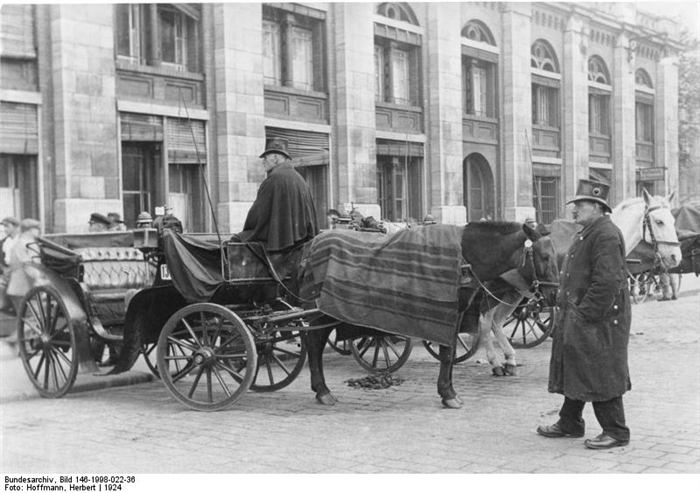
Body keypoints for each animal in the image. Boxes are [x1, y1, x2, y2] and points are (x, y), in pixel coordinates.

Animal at [298, 222, 560, 408]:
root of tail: (313, 244)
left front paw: (448, 390)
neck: (464, 255)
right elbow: (447, 354)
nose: (555, 294)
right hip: (319, 313)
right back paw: (322, 390)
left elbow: (450, 351)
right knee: (314, 342)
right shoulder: (450, 312)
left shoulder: (456, 313)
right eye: (545, 257)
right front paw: (448, 393)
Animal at [470, 190, 680, 374]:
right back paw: (495, 361)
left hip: (513, 292)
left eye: (672, 220)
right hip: (494, 290)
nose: (675, 256)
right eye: (659, 221)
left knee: (496, 322)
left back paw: (509, 359)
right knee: (485, 321)